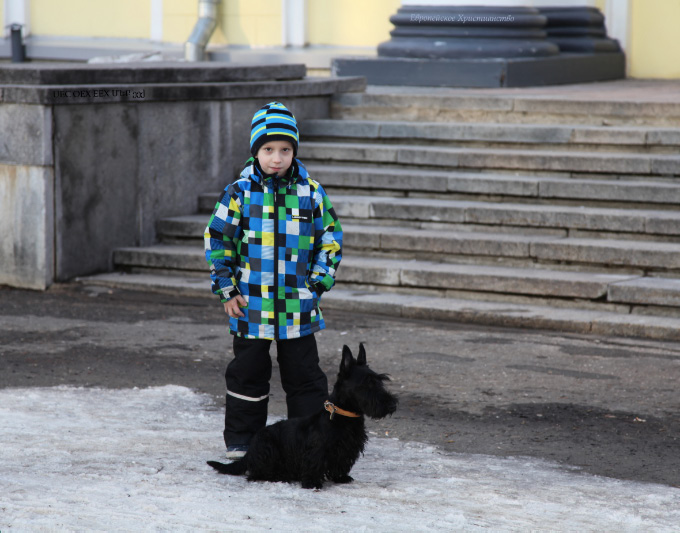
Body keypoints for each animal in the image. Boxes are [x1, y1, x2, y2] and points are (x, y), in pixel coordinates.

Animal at [207, 342, 398, 488]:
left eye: (380, 381)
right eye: (367, 384)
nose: (392, 404)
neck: (344, 416)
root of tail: (250, 449)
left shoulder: (346, 450)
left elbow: (341, 464)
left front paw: (341, 477)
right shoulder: (317, 450)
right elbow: (314, 464)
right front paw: (312, 483)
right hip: (268, 447)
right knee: (255, 474)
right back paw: (279, 476)